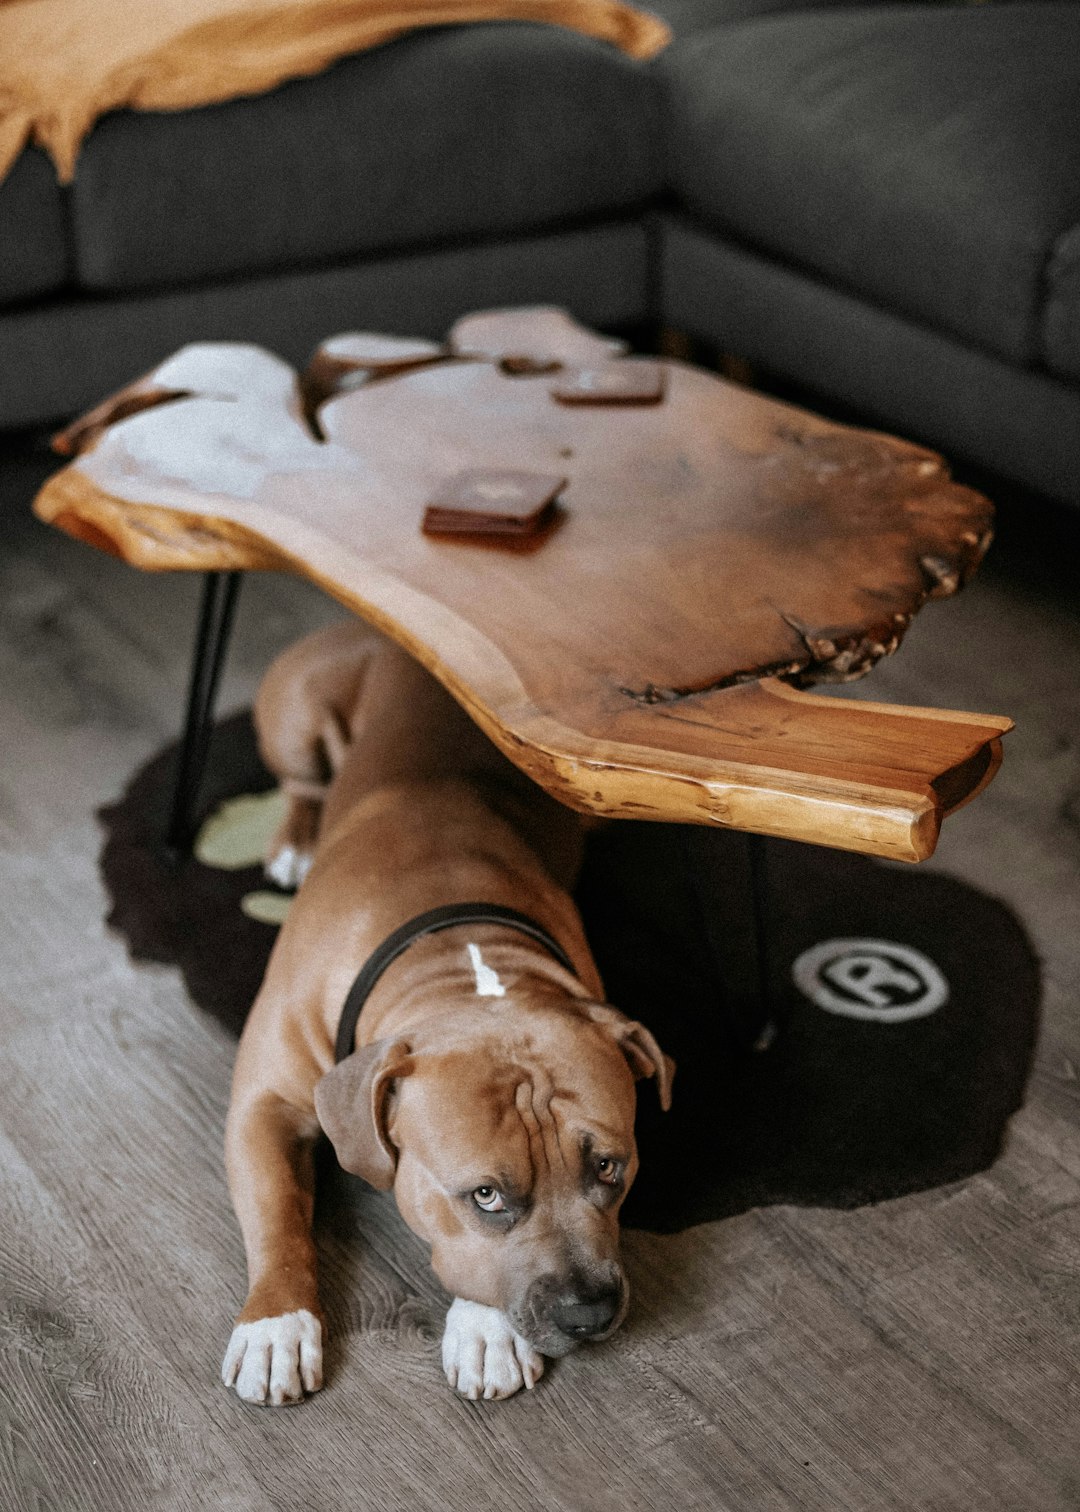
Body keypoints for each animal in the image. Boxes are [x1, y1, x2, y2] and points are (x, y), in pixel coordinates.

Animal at [222, 619, 668, 1397]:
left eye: (611, 1168)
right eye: (485, 1195)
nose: (588, 1313)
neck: (455, 955)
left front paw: (485, 1331)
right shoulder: (263, 1103)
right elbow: (278, 1211)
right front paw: (275, 1323)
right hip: (296, 717)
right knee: (303, 782)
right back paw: (297, 838)